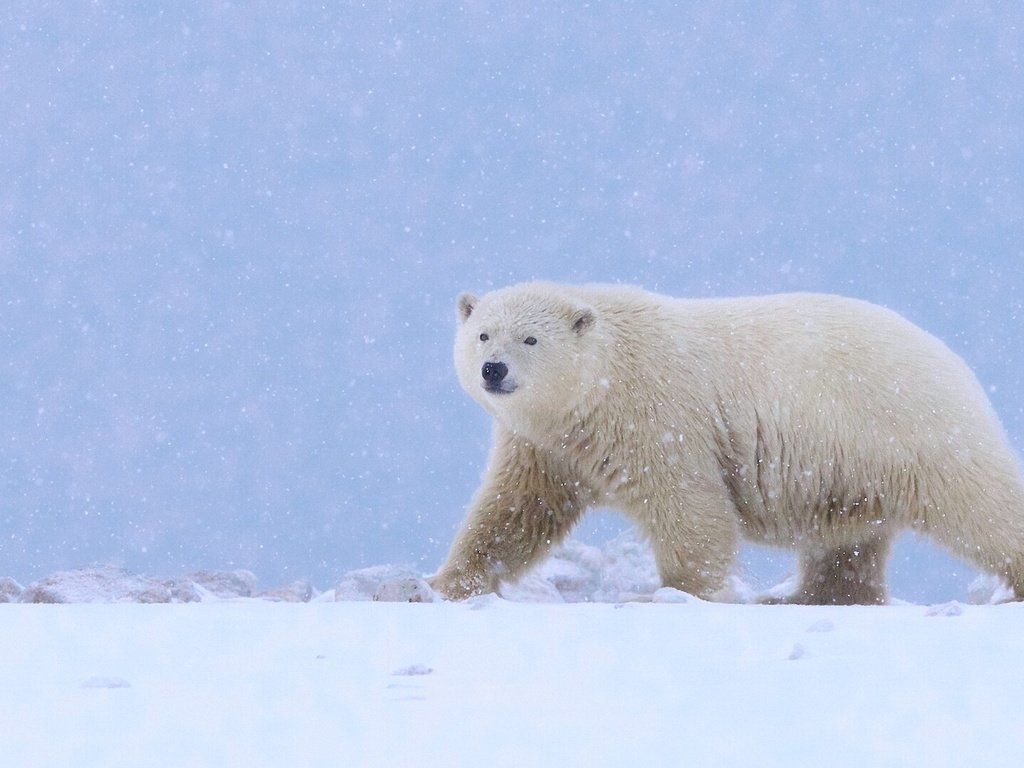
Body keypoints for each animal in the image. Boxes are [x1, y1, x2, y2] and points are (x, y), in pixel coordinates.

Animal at [432, 280, 1024, 606]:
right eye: (483, 333)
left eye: (530, 338)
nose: (493, 369)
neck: (601, 381)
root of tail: (954, 362)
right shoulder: (544, 444)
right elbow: (516, 510)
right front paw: (447, 582)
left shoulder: (656, 413)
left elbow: (687, 503)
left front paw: (677, 592)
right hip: (852, 464)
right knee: (847, 543)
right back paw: (803, 597)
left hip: (909, 428)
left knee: (981, 506)